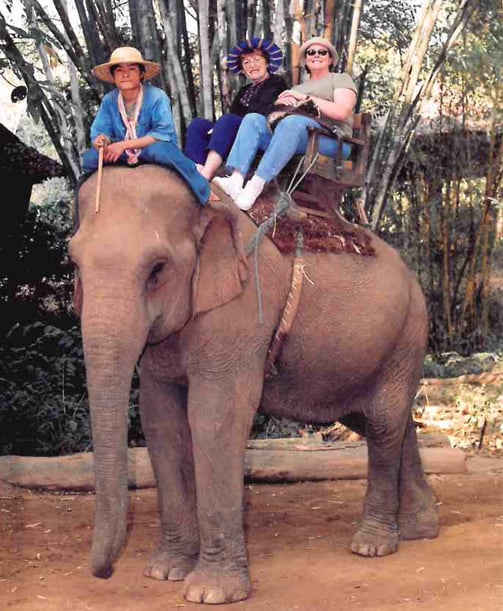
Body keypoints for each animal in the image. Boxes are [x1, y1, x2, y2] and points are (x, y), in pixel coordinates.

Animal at [71, 164, 440, 608]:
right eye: (73, 262)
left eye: (157, 269)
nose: (103, 572)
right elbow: (161, 421)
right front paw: (165, 572)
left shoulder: (242, 311)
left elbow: (214, 417)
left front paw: (211, 592)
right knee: (386, 421)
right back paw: (420, 530)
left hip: (409, 331)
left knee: (384, 422)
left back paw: (372, 545)